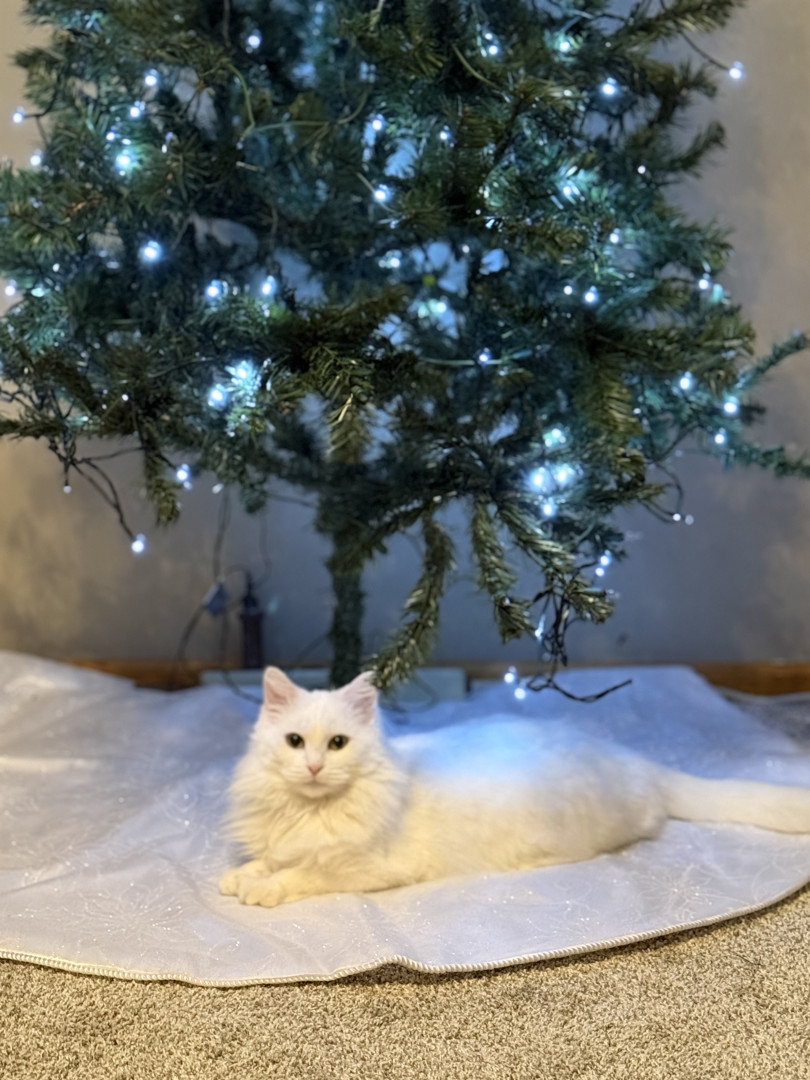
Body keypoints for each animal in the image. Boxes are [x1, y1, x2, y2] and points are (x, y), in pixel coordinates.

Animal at [219, 667, 810, 908]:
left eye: (338, 744)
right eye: (296, 742)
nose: (315, 768)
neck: (309, 811)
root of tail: (630, 757)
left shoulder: (371, 867)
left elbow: (307, 874)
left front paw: (263, 888)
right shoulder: (287, 839)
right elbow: (273, 858)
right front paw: (241, 876)